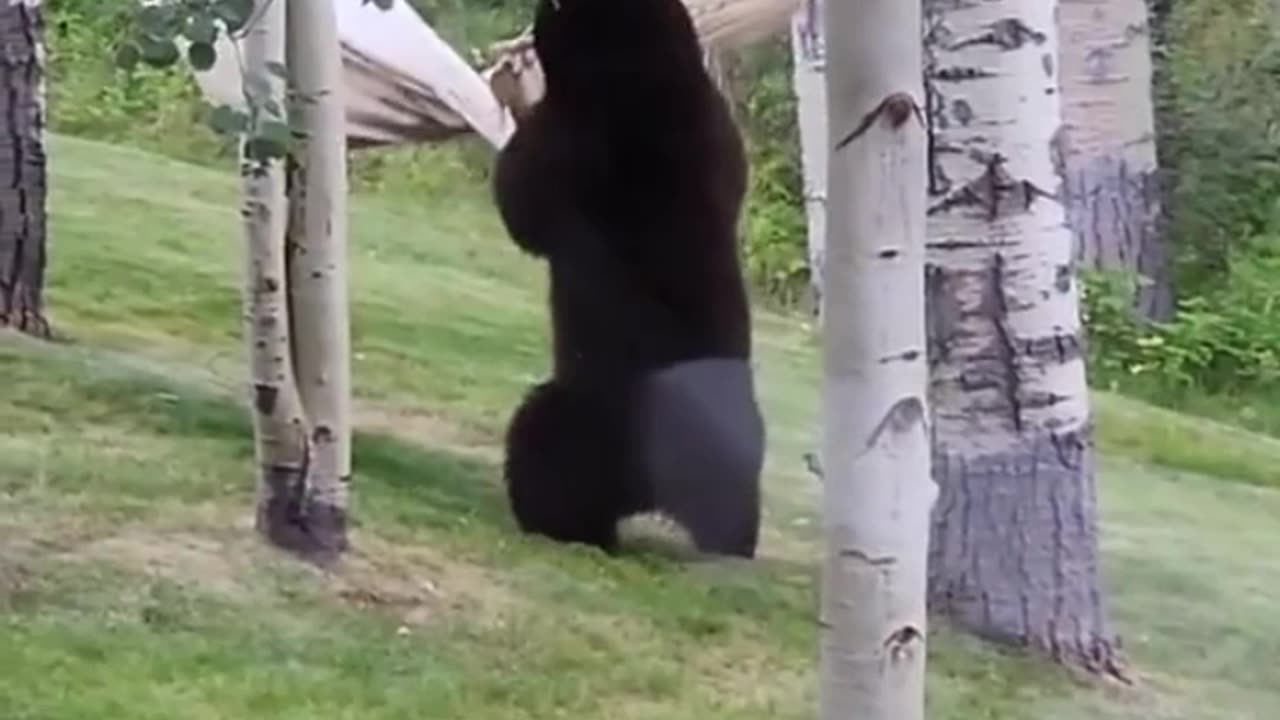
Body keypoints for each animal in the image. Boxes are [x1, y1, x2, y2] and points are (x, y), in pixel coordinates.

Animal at [491, 0, 757, 556]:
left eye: (557, 8)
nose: (537, 13)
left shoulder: (580, 135)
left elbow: (523, 198)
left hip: (592, 422)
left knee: (547, 453)